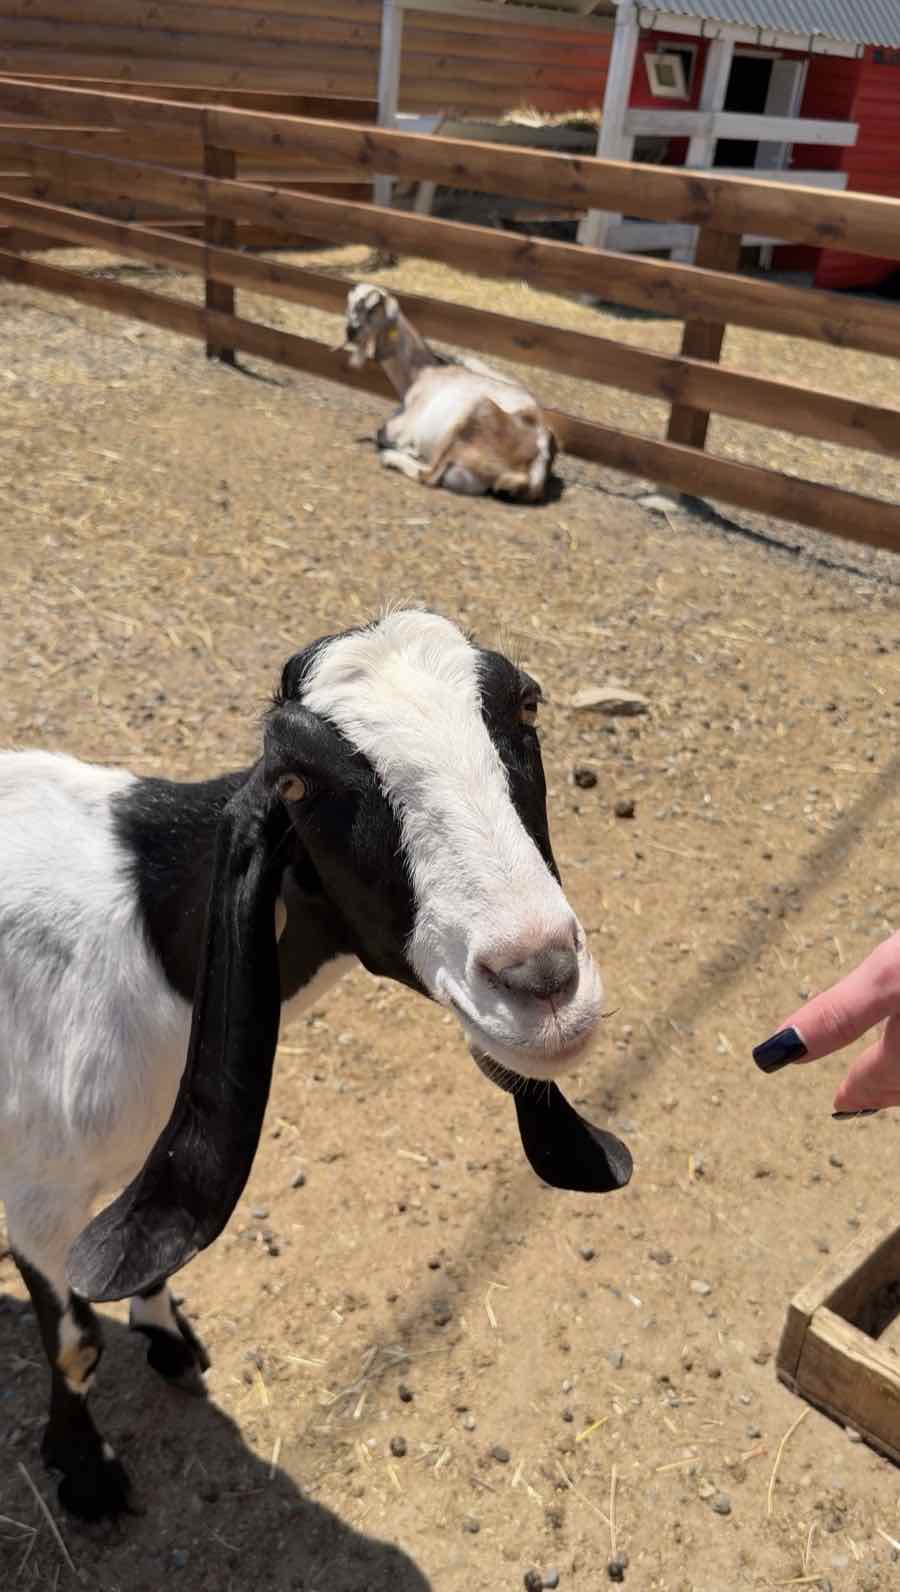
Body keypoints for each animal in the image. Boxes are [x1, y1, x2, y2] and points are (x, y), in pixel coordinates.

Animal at [0, 609, 631, 1522]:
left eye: (527, 706)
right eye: (297, 782)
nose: (541, 979)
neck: (145, 929)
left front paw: (169, 1341)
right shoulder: (39, 1199)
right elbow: (77, 1342)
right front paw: (86, 1477)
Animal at [341, 284, 558, 501]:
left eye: (371, 307)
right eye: (350, 304)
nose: (351, 331)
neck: (423, 371)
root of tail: (535, 467)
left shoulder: (405, 425)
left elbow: (382, 434)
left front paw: (406, 449)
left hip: (474, 417)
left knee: (428, 476)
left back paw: (392, 458)